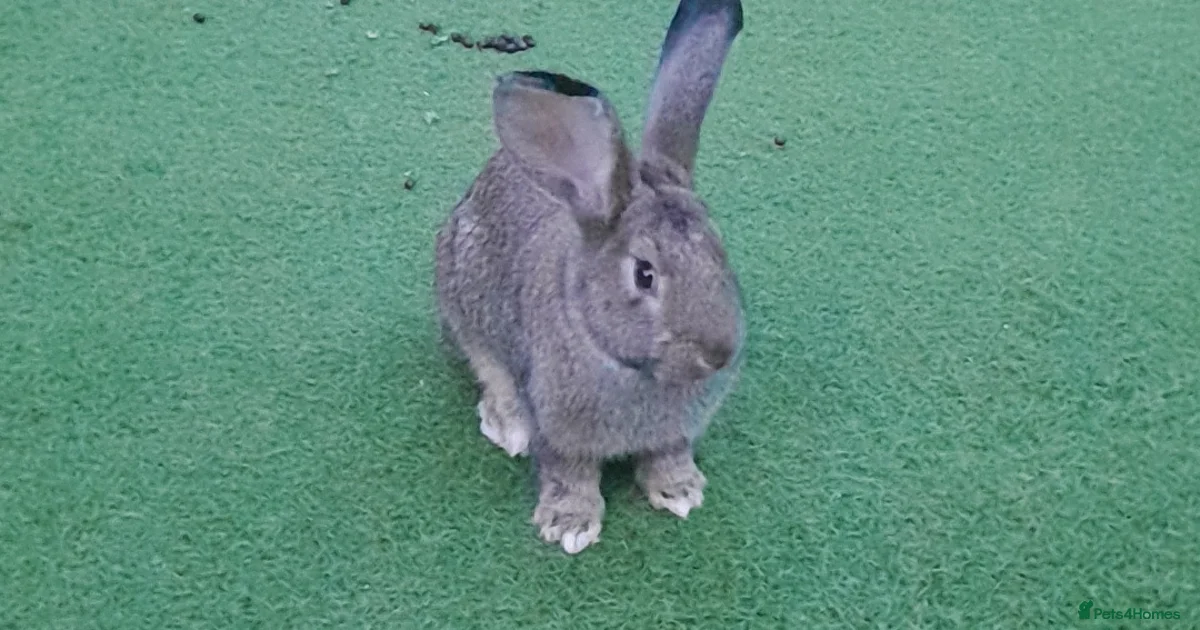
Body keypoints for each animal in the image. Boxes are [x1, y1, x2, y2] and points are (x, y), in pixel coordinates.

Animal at [434, 0, 746, 555]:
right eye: (644, 274)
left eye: (718, 250)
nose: (719, 354)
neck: (626, 363)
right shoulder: (560, 430)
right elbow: (569, 472)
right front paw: (569, 524)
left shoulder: (674, 433)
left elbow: (668, 454)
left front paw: (681, 491)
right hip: (465, 310)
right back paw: (507, 425)